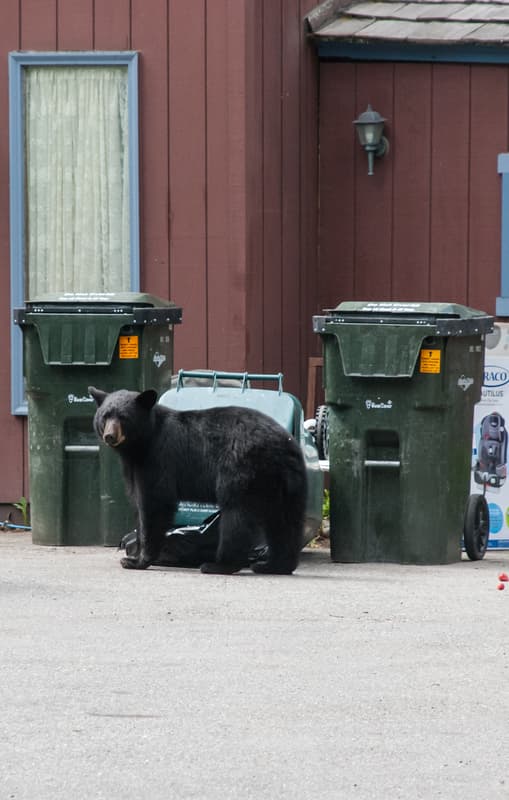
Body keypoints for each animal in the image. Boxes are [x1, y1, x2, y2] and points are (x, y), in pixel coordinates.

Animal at [89, 386, 307, 575]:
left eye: (124, 417)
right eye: (105, 416)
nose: (110, 436)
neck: (142, 443)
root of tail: (283, 443)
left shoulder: (158, 460)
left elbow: (154, 503)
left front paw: (137, 560)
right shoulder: (134, 466)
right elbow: (138, 501)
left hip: (242, 470)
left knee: (237, 516)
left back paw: (219, 565)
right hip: (286, 483)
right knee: (285, 520)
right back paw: (275, 565)